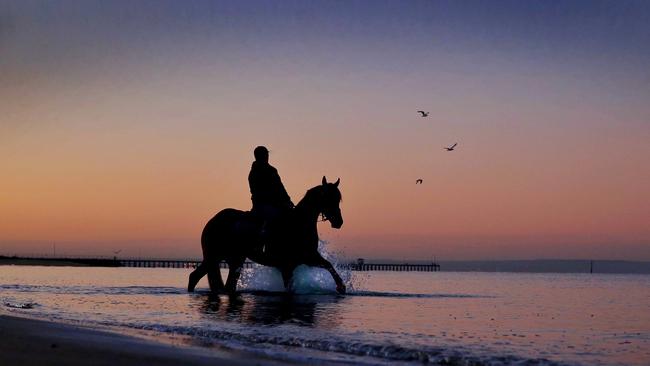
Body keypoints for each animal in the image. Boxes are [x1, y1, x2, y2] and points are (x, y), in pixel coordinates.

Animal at [186, 177, 344, 294]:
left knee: (227, 285)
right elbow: (289, 288)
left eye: (338, 199)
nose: (339, 222)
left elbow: (328, 265)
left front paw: (341, 287)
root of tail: (213, 221)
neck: (297, 224)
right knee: (195, 276)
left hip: (233, 259)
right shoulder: (287, 265)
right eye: (328, 197)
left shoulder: (308, 257)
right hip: (214, 256)